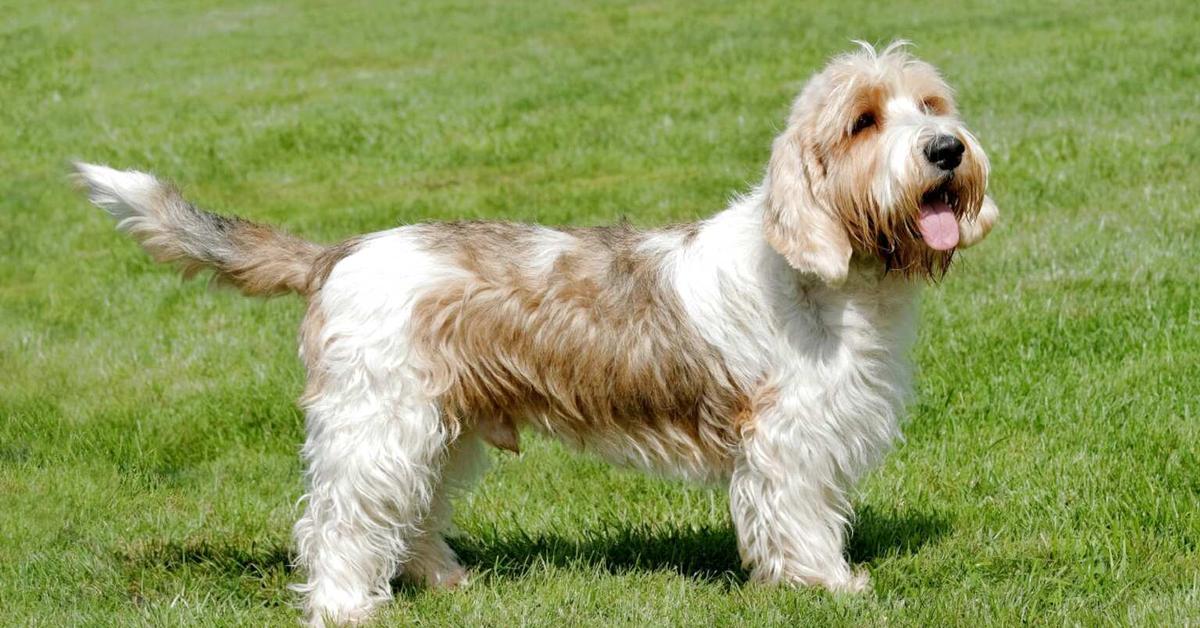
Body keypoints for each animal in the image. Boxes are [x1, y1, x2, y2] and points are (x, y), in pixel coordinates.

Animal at [75, 41, 998, 624]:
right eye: (864, 121)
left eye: (932, 105)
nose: (947, 150)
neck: (833, 275)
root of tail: (340, 252)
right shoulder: (790, 439)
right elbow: (801, 516)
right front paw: (829, 586)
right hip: (379, 423)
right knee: (338, 519)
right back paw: (345, 608)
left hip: (439, 428)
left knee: (410, 512)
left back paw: (444, 580)